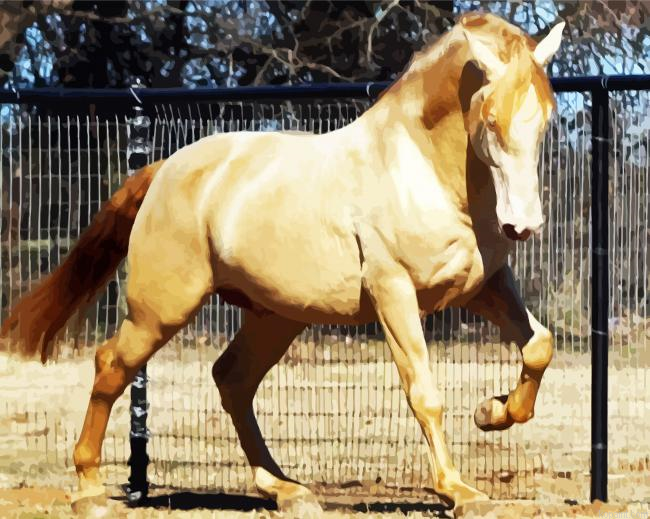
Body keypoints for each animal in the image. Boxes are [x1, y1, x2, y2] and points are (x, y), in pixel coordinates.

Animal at [1, 12, 564, 513]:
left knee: (231, 379)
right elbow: (424, 392)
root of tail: (164, 170)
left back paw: (285, 489)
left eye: (546, 118)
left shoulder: (484, 286)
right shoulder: (394, 293)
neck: (423, 171)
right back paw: (90, 489)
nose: (522, 225)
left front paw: (492, 412)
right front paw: (460, 492)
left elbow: (539, 345)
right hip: (161, 309)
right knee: (113, 365)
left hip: (275, 317)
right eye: (490, 119)